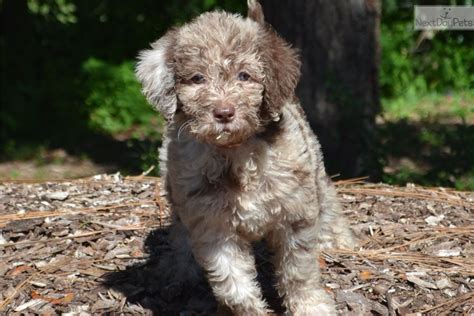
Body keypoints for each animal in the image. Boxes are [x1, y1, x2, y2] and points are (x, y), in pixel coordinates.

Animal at [136, 0, 356, 314]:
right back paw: (179, 272)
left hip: (315, 169)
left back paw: (340, 240)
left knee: (329, 203)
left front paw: (310, 305)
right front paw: (249, 308)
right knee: (180, 235)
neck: (235, 152)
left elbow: (298, 271)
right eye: (197, 78)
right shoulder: (213, 227)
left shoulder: (295, 215)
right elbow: (232, 284)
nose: (224, 113)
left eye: (244, 76)